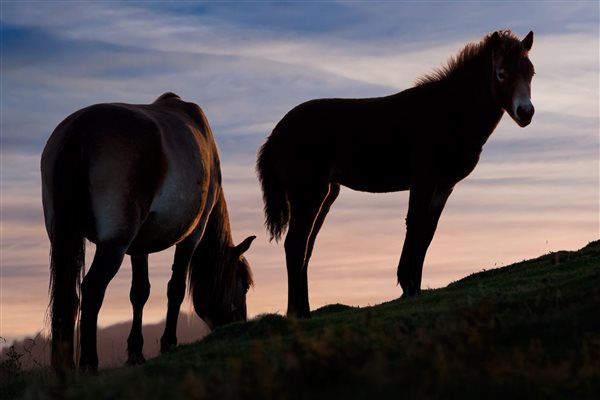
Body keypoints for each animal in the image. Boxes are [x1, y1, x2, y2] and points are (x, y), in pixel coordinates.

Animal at [41, 92, 256, 370]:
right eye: (245, 284)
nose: (238, 324)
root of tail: (79, 132)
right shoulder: (192, 234)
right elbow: (175, 288)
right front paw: (168, 343)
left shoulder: (138, 246)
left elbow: (139, 292)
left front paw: (135, 352)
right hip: (114, 244)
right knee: (91, 289)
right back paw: (89, 363)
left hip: (64, 239)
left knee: (69, 295)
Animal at [256, 29, 536, 318]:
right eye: (501, 73)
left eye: (531, 72)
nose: (525, 113)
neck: (448, 112)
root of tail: (275, 135)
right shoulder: (423, 177)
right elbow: (414, 224)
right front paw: (407, 285)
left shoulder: (444, 186)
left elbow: (427, 232)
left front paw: (416, 288)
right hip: (308, 193)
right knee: (295, 244)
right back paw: (296, 313)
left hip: (326, 195)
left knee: (307, 246)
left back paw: (305, 311)